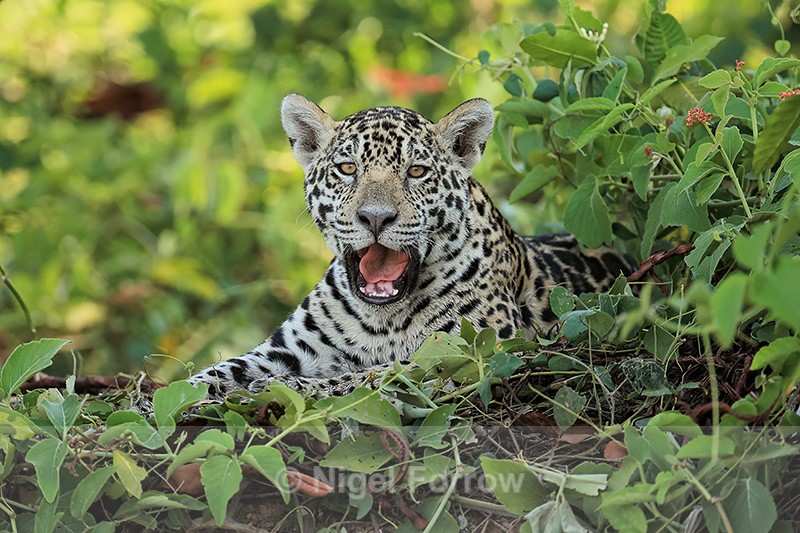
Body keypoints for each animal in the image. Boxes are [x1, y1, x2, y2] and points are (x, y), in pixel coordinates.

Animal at [187, 93, 631, 397]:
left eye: (416, 171)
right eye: (347, 168)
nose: (375, 217)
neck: (379, 318)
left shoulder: (468, 354)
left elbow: (364, 377)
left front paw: (274, 390)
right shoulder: (287, 349)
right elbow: (214, 373)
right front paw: (186, 396)